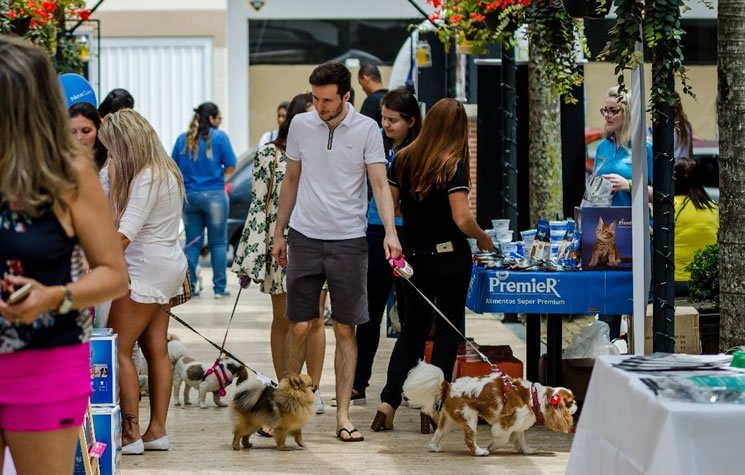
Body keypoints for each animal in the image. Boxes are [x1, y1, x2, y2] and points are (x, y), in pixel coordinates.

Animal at [402, 364, 576, 458]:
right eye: (569, 402)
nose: (576, 405)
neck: (534, 398)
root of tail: (449, 386)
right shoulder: (505, 423)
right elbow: (503, 439)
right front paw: (493, 446)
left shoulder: (518, 423)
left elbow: (521, 438)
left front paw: (527, 450)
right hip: (469, 417)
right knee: (469, 439)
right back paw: (480, 452)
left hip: (449, 421)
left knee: (438, 434)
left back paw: (434, 447)